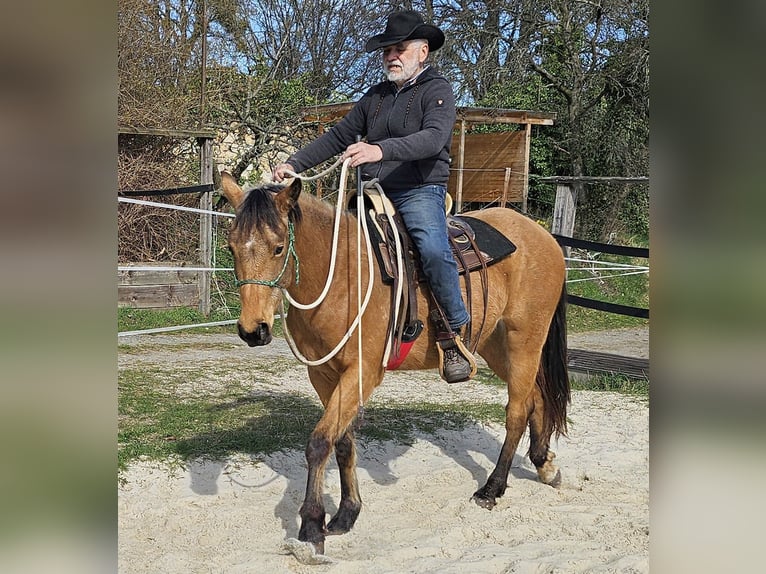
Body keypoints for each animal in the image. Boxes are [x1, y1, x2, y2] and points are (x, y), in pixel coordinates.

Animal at [219, 171, 570, 557]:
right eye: (232, 248)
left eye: (279, 247)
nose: (253, 330)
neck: (341, 275)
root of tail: (543, 236)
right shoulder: (324, 375)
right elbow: (342, 442)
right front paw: (346, 513)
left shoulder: (362, 372)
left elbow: (319, 442)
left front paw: (311, 526)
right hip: (495, 344)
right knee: (537, 397)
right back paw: (544, 464)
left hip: (524, 339)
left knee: (517, 411)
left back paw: (492, 488)